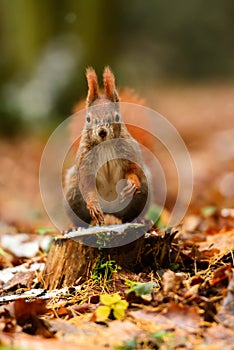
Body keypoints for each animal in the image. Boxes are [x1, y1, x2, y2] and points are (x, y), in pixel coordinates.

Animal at [64, 67, 150, 227]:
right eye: (88, 118)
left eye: (117, 117)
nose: (102, 132)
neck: (105, 145)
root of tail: (110, 212)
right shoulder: (85, 163)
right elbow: (87, 183)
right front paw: (93, 205)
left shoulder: (129, 152)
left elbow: (133, 169)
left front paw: (131, 184)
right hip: (73, 197)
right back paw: (72, 227)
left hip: (142, 195)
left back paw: (137, 219)